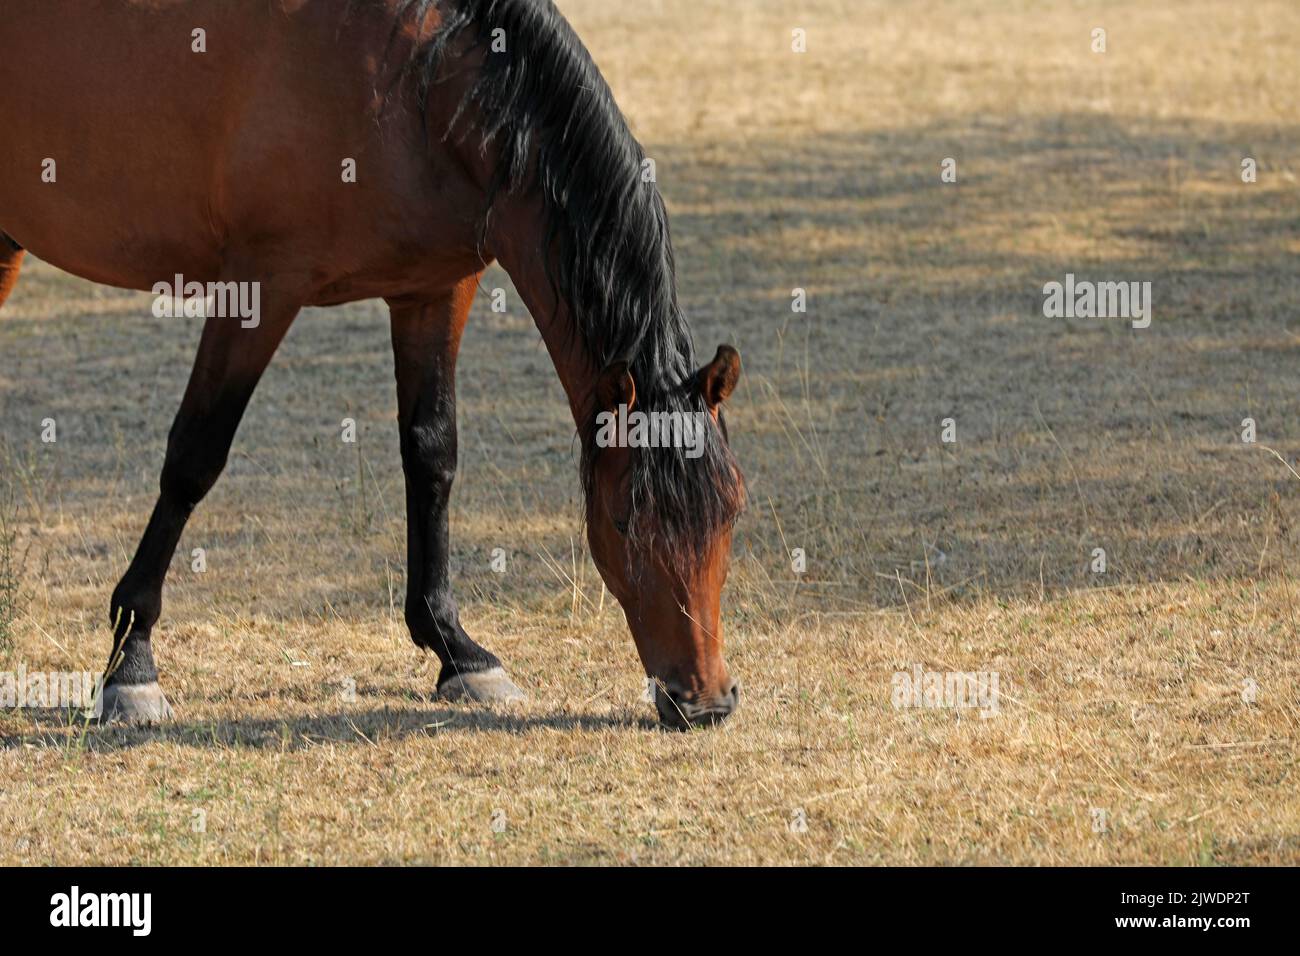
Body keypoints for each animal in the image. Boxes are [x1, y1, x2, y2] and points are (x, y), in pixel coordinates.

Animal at [0, 0, 746, 730]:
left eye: (733, 511)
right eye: (623, 521)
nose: (704, 701)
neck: (419, 79)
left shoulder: (435, 291)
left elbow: (432, 455)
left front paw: (456, 649)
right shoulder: (261, 288)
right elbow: (194, 458)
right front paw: (132, 660)